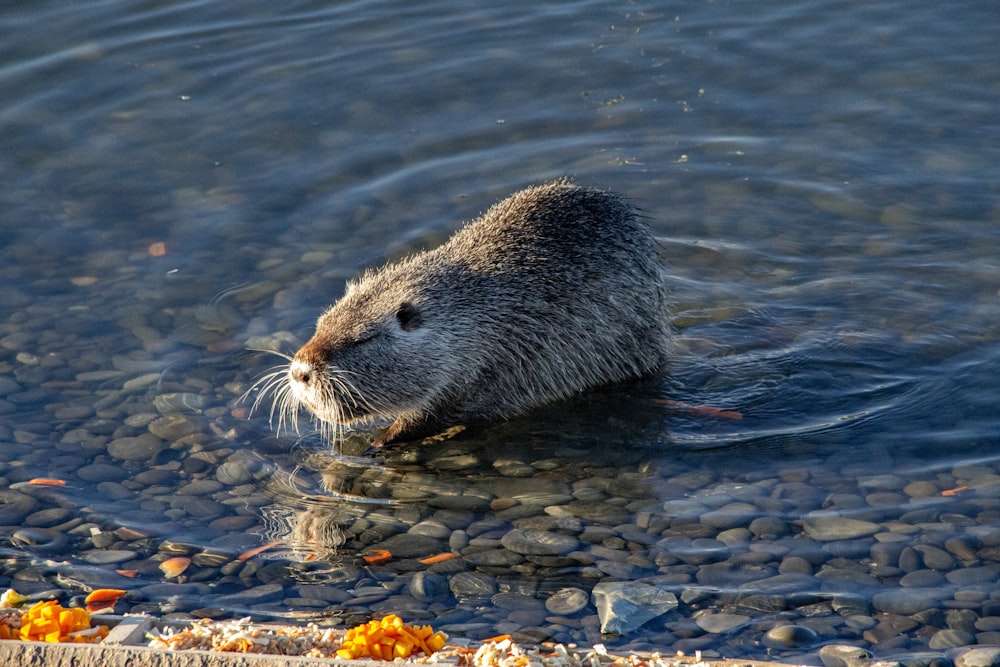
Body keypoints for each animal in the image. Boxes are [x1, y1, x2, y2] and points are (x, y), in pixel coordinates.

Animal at [278, 180, 668, 446]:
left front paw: (381, 440)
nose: (300, 372)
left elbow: (440, 414)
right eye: (321, 323)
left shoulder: (502, 366)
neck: (474, 311)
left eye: (362, 339)